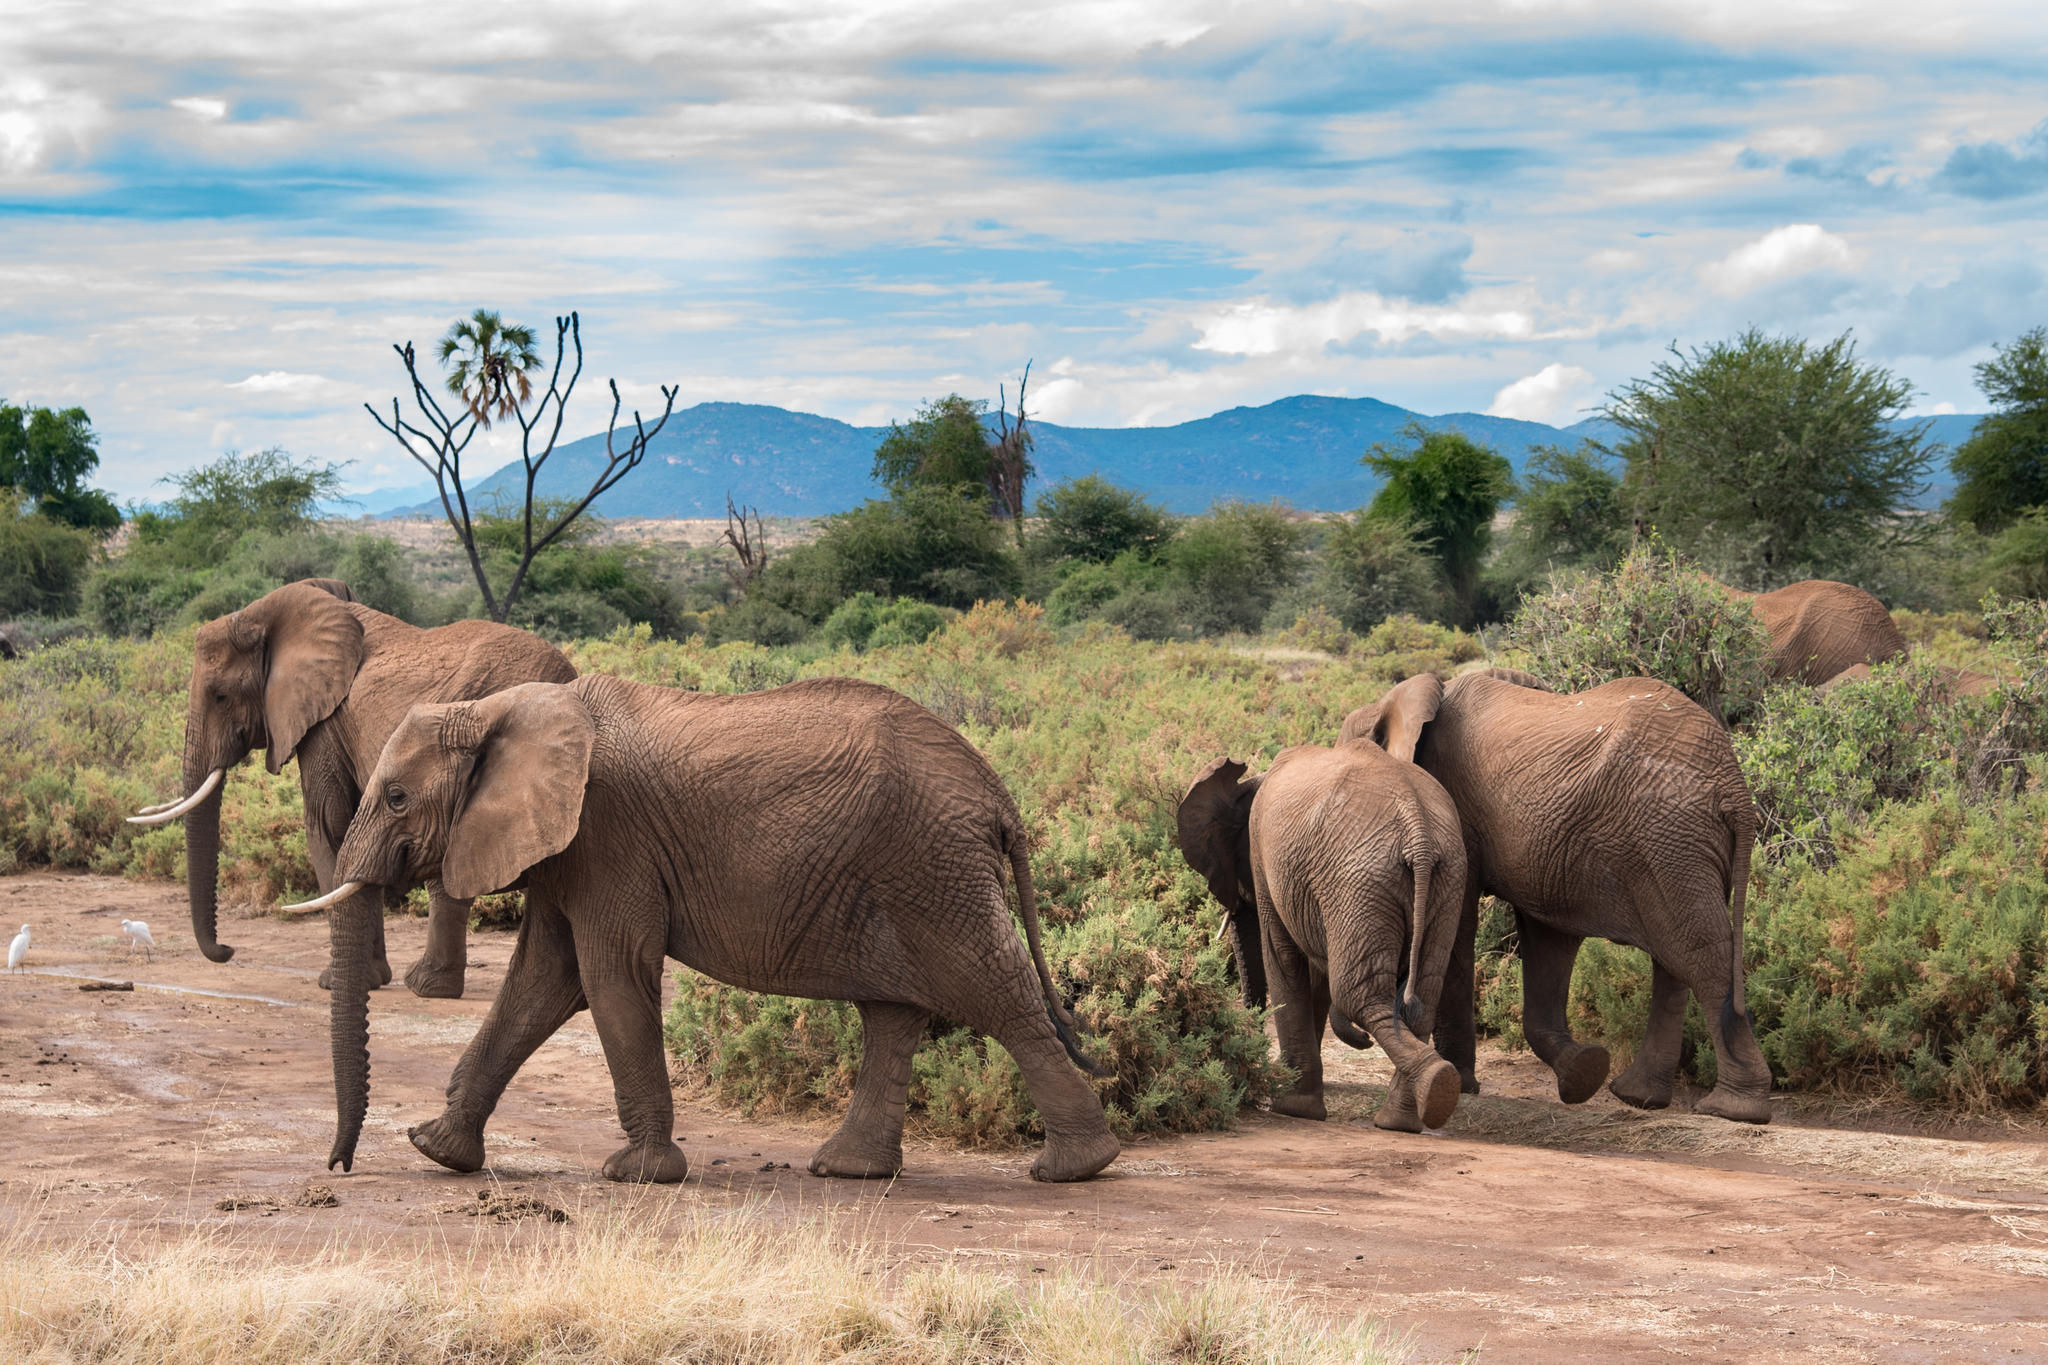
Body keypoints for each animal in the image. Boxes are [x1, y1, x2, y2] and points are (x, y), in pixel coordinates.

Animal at [128, 578, 575, 999]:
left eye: (220, 696)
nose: (227, 951)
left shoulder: (325, 724)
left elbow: (329, 824)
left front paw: (341, 982)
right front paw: (368, 979)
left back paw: (426, 987)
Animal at [292, 674, 1120, 1185]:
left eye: (397, 797)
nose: (339, 1165)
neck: (496, 708)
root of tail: (997, 794)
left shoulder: (608, 837)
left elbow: (608, 980)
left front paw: (637, 1175)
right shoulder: (567, 852)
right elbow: (539, 986)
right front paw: (437, 1149)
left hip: (932, 867)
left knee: (995, 995)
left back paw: (1076, 1166)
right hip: (907, 874)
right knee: (893, 1011)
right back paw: (848, 1169)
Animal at [1177, 743, 1467, 1132]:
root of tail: (1417, 829)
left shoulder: (1266, 863)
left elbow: (1284, 960)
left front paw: (1292, 1108)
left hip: (1359, 883)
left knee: (1358, 994)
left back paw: (1429, 1090)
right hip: (1445, 882)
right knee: (1421, 999)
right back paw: (1413, 1110)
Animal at [1339, 668, 1772, 1124]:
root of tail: (1735, 788)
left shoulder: (1456, 804)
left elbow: (1463, 926)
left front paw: (1464, 1082)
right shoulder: (1554, 847)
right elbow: (1547, 937)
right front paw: (1583, 1071)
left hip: (1670, 838)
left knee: (1701, 957)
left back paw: (1734, 1109)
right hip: (1673, 848)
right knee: (1676, 960)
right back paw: (1639, 1097)